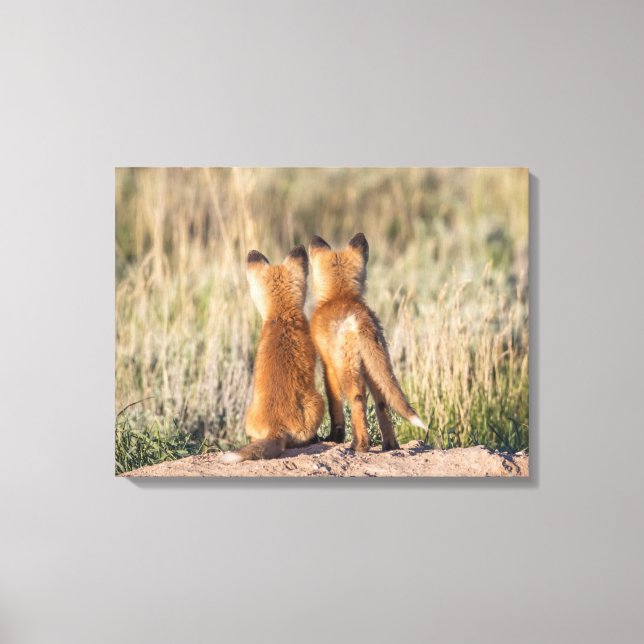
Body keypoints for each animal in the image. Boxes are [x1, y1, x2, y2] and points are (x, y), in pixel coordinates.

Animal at [308, 233, 425, 452]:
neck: (339, 295)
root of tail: (361, 319)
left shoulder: (328, 366)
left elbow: (334, 406)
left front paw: (335, 437)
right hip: (375, 368)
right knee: (382, 404)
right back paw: (390, 446)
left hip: (348, 371)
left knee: (357, 401)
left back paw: (359, 445)